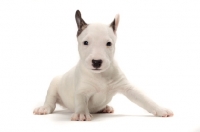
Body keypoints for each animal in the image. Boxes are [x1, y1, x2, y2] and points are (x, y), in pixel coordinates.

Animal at [33, 10, 173, 120]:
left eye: (109, 43)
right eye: (85, 42)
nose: (96, 62)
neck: (100, 75)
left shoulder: (127, 87)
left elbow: (144, 99)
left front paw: (160, 109)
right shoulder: (82, 89)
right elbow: (80, 100)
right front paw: (81, 113)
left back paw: (105, 108)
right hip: (54, 84)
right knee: (50, 100)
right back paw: (44, 108)